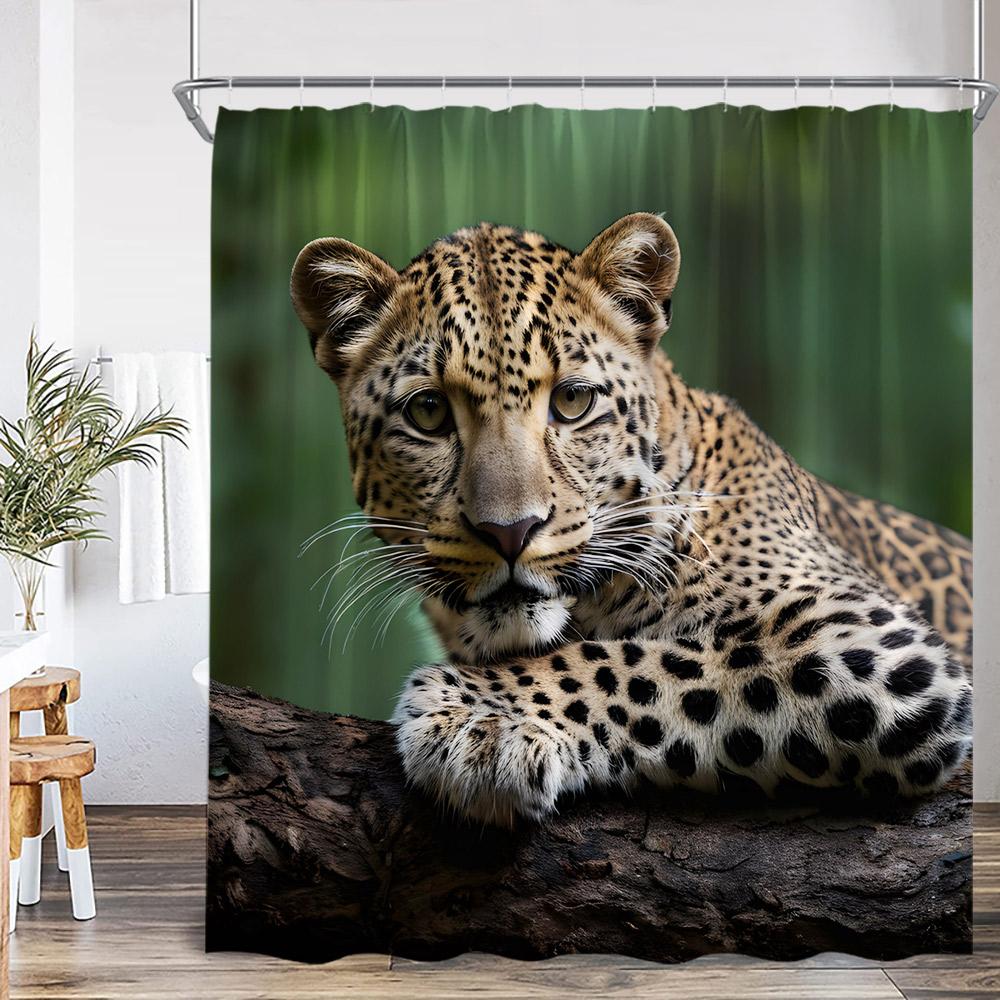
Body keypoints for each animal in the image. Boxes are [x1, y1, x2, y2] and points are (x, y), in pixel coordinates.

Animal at [290, 212, 973, 826]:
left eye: (572, 401)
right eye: (428, 412)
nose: (510, 532)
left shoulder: (870, 641)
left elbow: (639, 661)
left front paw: (482, 717)